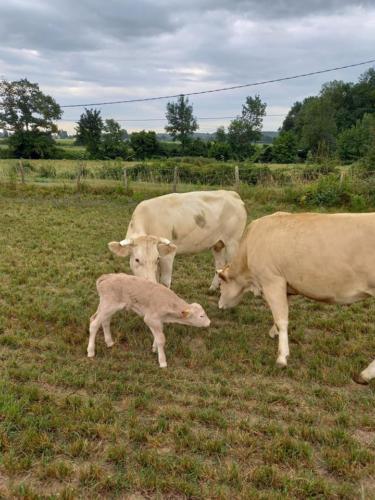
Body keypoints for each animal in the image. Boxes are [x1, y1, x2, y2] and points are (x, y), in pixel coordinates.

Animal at [108, 189, 247, 290]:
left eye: (156, 259)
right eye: (137, 259)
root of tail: (231, 193)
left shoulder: (168, 255)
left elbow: (164, 282)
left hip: (233, 242)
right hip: (217, 243)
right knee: (220, 263)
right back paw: (213, 288)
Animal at [219, 211, 375, 382]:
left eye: (220, 285)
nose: (220, 305)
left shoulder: (272, 280)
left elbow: (281, 319)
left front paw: (282, 357)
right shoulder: (286, 286)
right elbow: (280, 314)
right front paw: (274, 332)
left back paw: (366, 374)